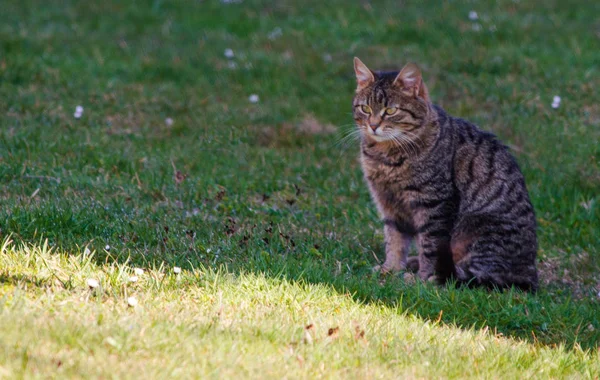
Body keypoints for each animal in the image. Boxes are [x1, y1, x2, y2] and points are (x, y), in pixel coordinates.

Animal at [352, 57, 540, 290]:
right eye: (365, 108)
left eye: (391, 111)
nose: (373, 125)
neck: (385, 156)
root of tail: (530, 271)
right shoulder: (388, 204)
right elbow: (394, 241)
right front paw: (391, 269)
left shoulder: (434, 204)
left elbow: (430, 247)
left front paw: (422, 280)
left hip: (478, 229)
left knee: (471, 274)